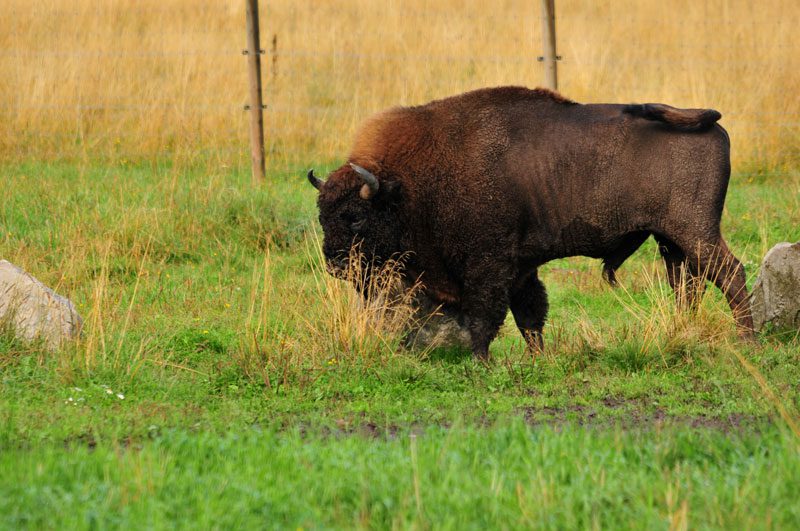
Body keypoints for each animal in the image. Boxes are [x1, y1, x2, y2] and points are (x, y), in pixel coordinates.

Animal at [308, 87, 756, 362]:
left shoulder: (489, 265)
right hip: (670, 241)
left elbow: (485, 315)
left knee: (731, 274)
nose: (335, 264)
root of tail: (712, 126)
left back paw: (747, 340)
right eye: (322, 216)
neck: (406, 186)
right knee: (687, 285)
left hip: (696, 232)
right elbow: (528, 315)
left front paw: (482, 361)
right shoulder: (521, 268)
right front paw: (536, 357)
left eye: (355, 217)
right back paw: (685, 330)